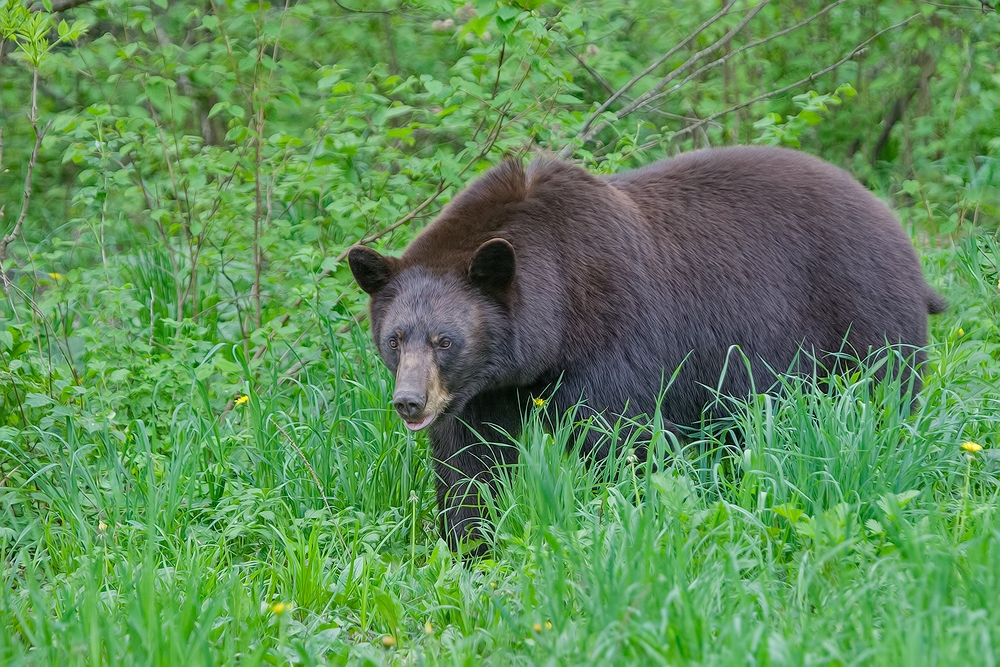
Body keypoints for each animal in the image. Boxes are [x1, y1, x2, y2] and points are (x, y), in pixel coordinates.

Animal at [350, 146, 944, 552]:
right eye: (395, 339)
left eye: (445, 340)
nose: (409, 401)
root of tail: (894, 224)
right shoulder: (481, 390)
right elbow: (468, 460)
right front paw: (470, 543)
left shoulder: (615, 333)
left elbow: (620, 439)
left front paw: (622, 521)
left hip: (860, 320)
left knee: (878, 399)